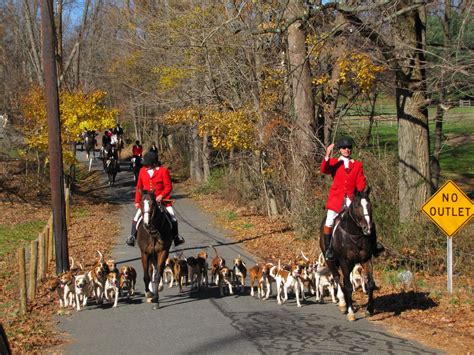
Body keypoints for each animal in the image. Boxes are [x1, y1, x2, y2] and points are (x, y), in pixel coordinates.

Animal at [318, 188, 378, 322]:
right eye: (356, 205)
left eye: (369, 205)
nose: (368, 228)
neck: (356, 235)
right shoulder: (345, 261)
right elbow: (348, 286)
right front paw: (350, 312)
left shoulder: (366, 260)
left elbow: (370, 284)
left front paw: (369, 309)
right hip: (330, 260)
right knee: (337, 277)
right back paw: (342, 302)